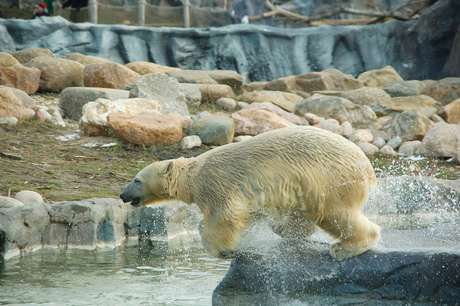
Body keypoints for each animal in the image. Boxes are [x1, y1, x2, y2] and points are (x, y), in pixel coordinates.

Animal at [120, 125, 380, 260]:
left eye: (136, 179)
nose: (122, 195)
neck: (193, 176)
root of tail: (367, 167)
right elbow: (247, 213)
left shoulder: (216, 186)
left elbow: (224, 217)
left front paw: (223, 250)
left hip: (332, 180)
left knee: (336, 215)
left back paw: (344, 249)